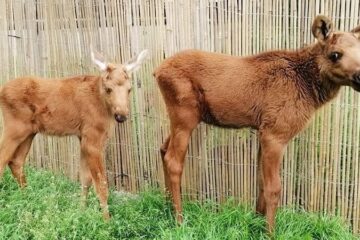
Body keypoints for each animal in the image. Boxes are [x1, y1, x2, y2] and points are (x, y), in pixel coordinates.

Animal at [0, 47, 149, 218]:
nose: (121, 115)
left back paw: (28, 200)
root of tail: (2, 91)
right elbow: (101, 183)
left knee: (16, 162)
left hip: (28, 132)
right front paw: (107, 220)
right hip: (14, 127)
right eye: (108, 88)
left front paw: (81, 211)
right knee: (4, 159)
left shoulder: (82, 136)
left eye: (129, 89)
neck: (103, 105)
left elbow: (85, 179)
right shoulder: (92, 137)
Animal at [153, 15, 360, 232]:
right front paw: (270, 232)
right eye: (335, 54)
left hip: (179, 119)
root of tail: (157, 71)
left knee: (163, 149)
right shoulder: (275, 134)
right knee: (174, 161)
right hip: (185, 117)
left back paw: (167, 206)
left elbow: (261, 182)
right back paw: (179, 220)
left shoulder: (263, 132)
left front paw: (256, 221)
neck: (309, 89)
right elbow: (274, 188)